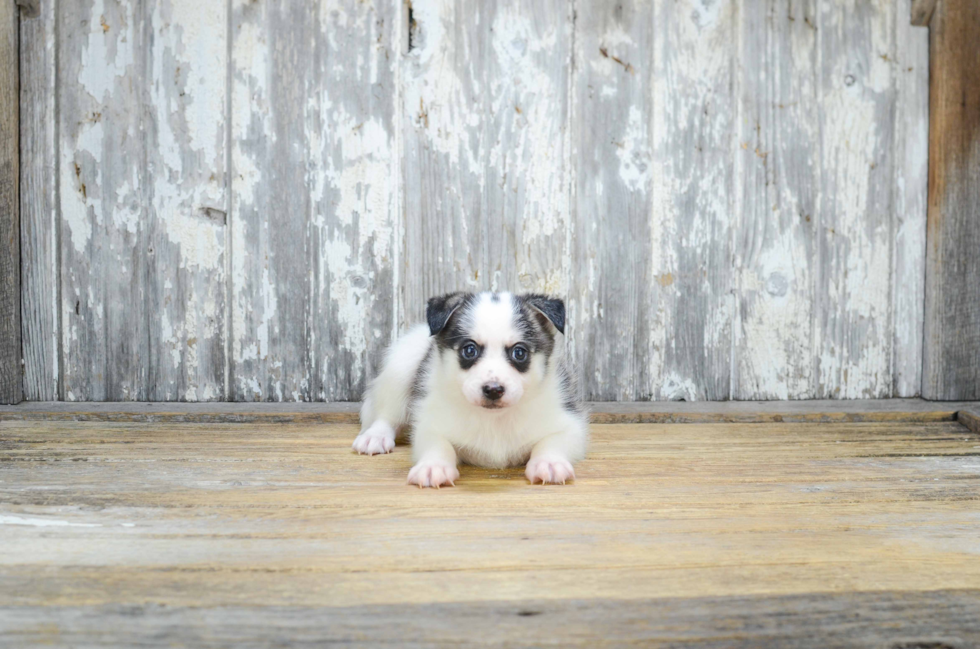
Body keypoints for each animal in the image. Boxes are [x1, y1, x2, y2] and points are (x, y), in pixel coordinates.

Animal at [358, 292, 592, 486]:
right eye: (469, 350)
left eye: (519, 353)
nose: (493, 390)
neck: (494, 419)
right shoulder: (430, 424)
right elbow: (438, 444)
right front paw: (434, 465)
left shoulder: (570, 425)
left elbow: (552, 442)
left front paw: (549, 462)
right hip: (400, 368)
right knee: (387, 415)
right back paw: (376, 436)